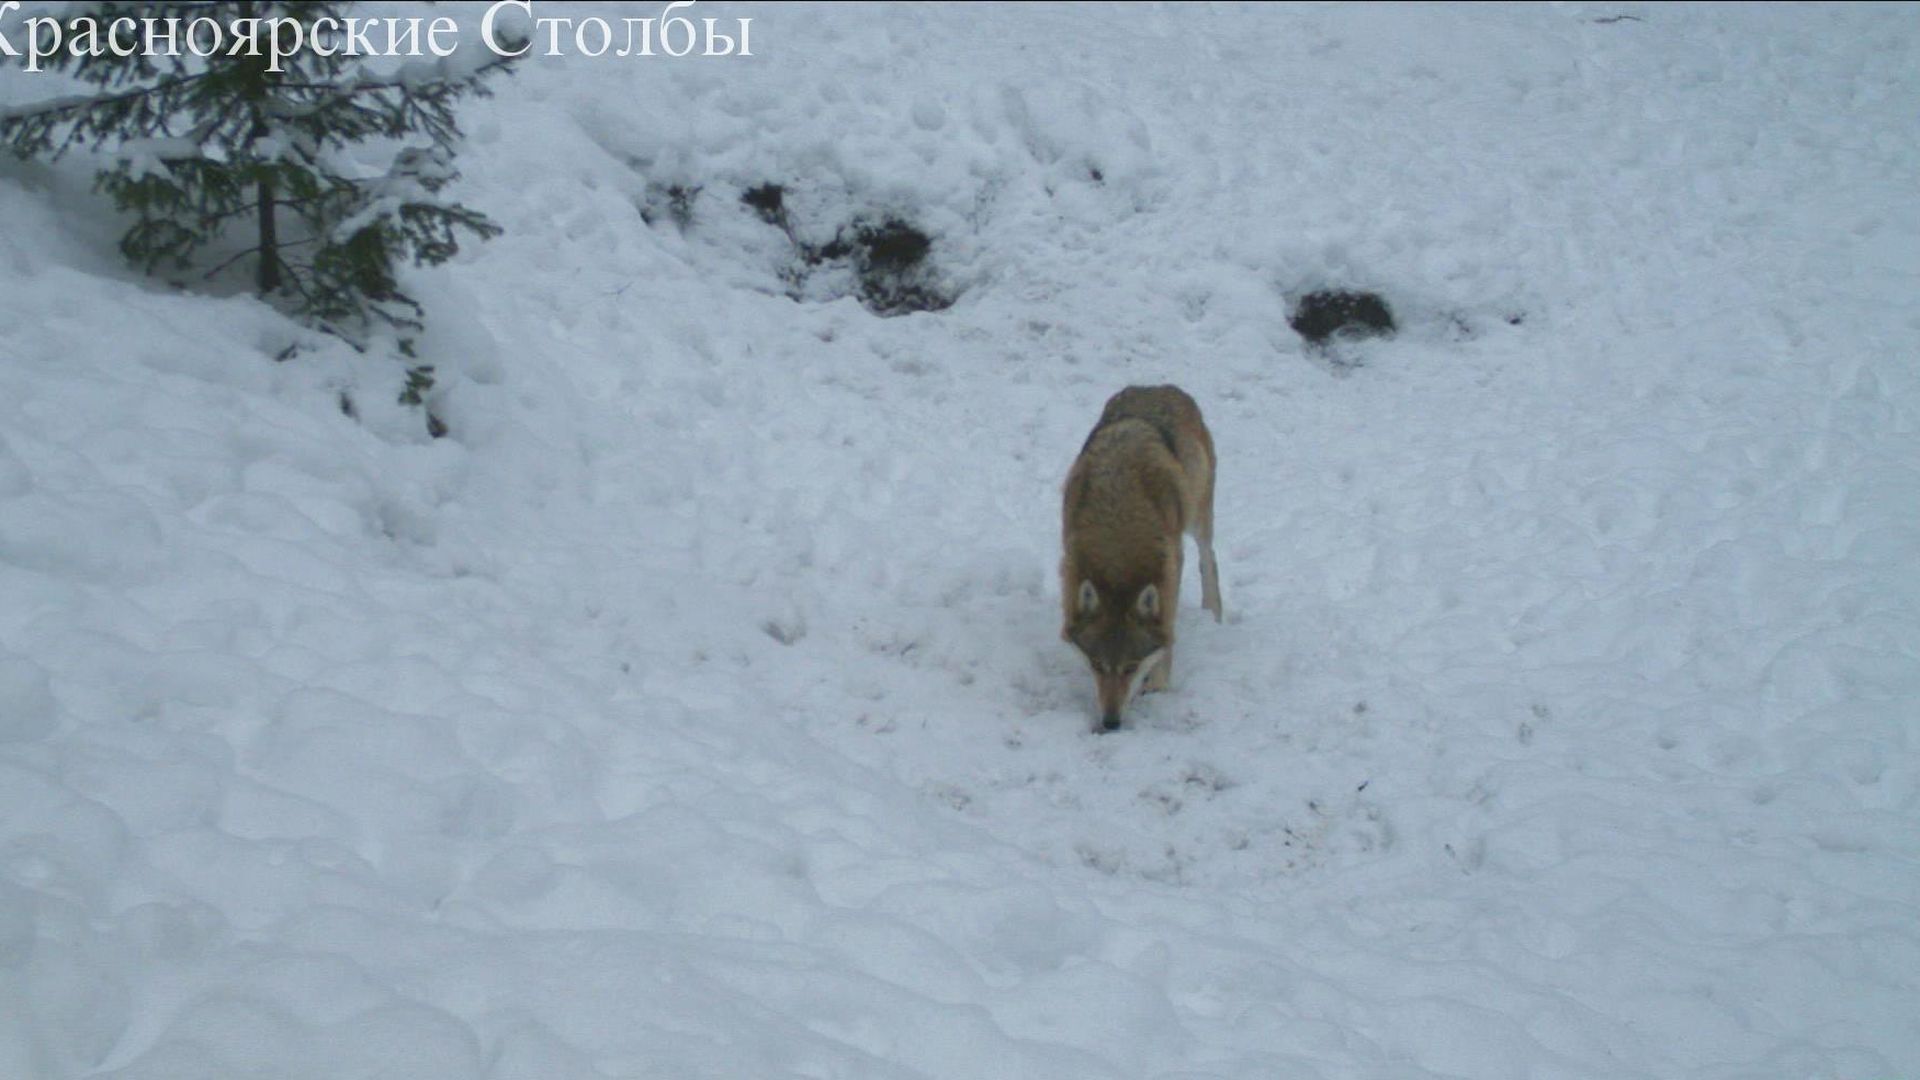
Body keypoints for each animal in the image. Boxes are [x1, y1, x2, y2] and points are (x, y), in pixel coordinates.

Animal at [1061, 385, 1222, 732]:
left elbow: (1167, 634)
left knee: (1209, 558)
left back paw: (1214, 614)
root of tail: (1159, 387)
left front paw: (1158, 683)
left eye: (1131, 667)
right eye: (1097, 664)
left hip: (1197, 517)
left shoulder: (1172, 563)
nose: (1110, 723)